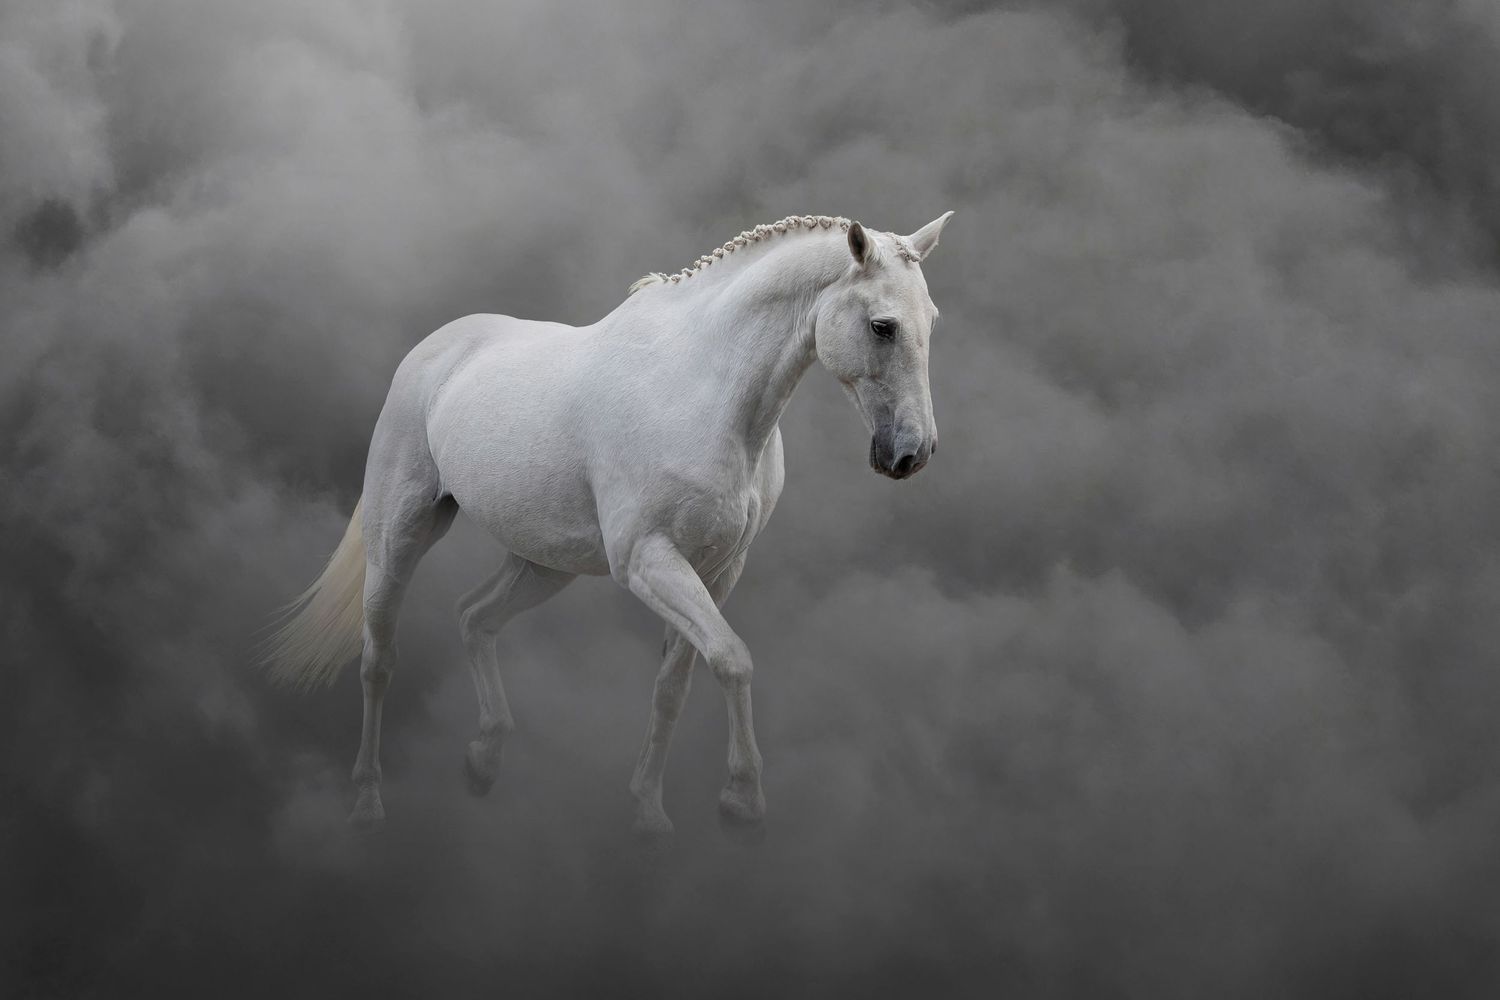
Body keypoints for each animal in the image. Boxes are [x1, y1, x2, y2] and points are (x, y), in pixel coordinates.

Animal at [263, 211, 954, 836]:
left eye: (931, 320)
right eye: (883, 326)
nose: (910, 454)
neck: (703, 388)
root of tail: (432, 351)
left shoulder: (718, 570)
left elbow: (675, 685)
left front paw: (648, 811)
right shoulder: (648, 560)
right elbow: (733, 658)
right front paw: (741, 799)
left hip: (544, 565)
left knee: (474, 617)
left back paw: (484, 761)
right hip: (400, 536)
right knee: (378, 658)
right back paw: (368, 802)